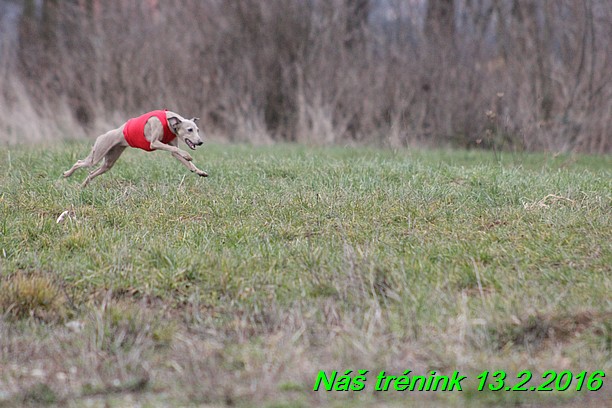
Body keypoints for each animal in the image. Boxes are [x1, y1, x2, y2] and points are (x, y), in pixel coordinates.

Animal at [63, 109, 208, 187]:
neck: (168, 121)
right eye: (189, 129)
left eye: (198, 130)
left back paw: (82, 186)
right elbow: (177, 150)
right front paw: (187, 155)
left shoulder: (172, 148)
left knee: (92, 174)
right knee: (79, 162)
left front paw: (200, 171)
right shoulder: (154, 142)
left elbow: (182, 158)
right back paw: (67, 174)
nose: (201, 142)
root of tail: (103, 135)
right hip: (97, 155)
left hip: (108, 162)